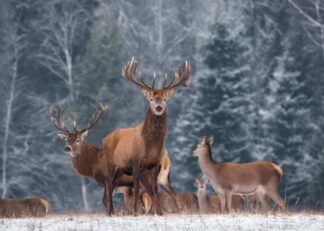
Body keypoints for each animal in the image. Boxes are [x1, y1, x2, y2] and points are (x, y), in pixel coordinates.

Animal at [102, 57, 190, 215]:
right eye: (151, 99)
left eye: (164, 99)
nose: (159, 107)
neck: (150, 146)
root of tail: (104, 139)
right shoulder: (135, 162)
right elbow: (137, 188)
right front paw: (135, 211)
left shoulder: (155, 164)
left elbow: (154, 189)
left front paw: (159, 212)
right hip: (110, 163)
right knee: (108, 183)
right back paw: (110, 212)